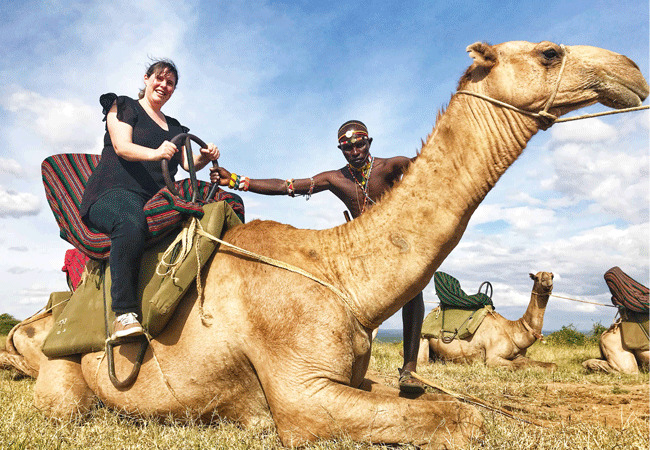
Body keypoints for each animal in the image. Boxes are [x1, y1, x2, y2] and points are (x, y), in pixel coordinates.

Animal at [420, 270, 556, 370]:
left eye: (552, 276)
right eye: (536, 278)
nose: (548, 284)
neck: (512, 331)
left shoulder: (517, 355)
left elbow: (552, 365)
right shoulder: (492, 358)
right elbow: (518, 366)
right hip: (424, 339)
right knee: (423, 362)